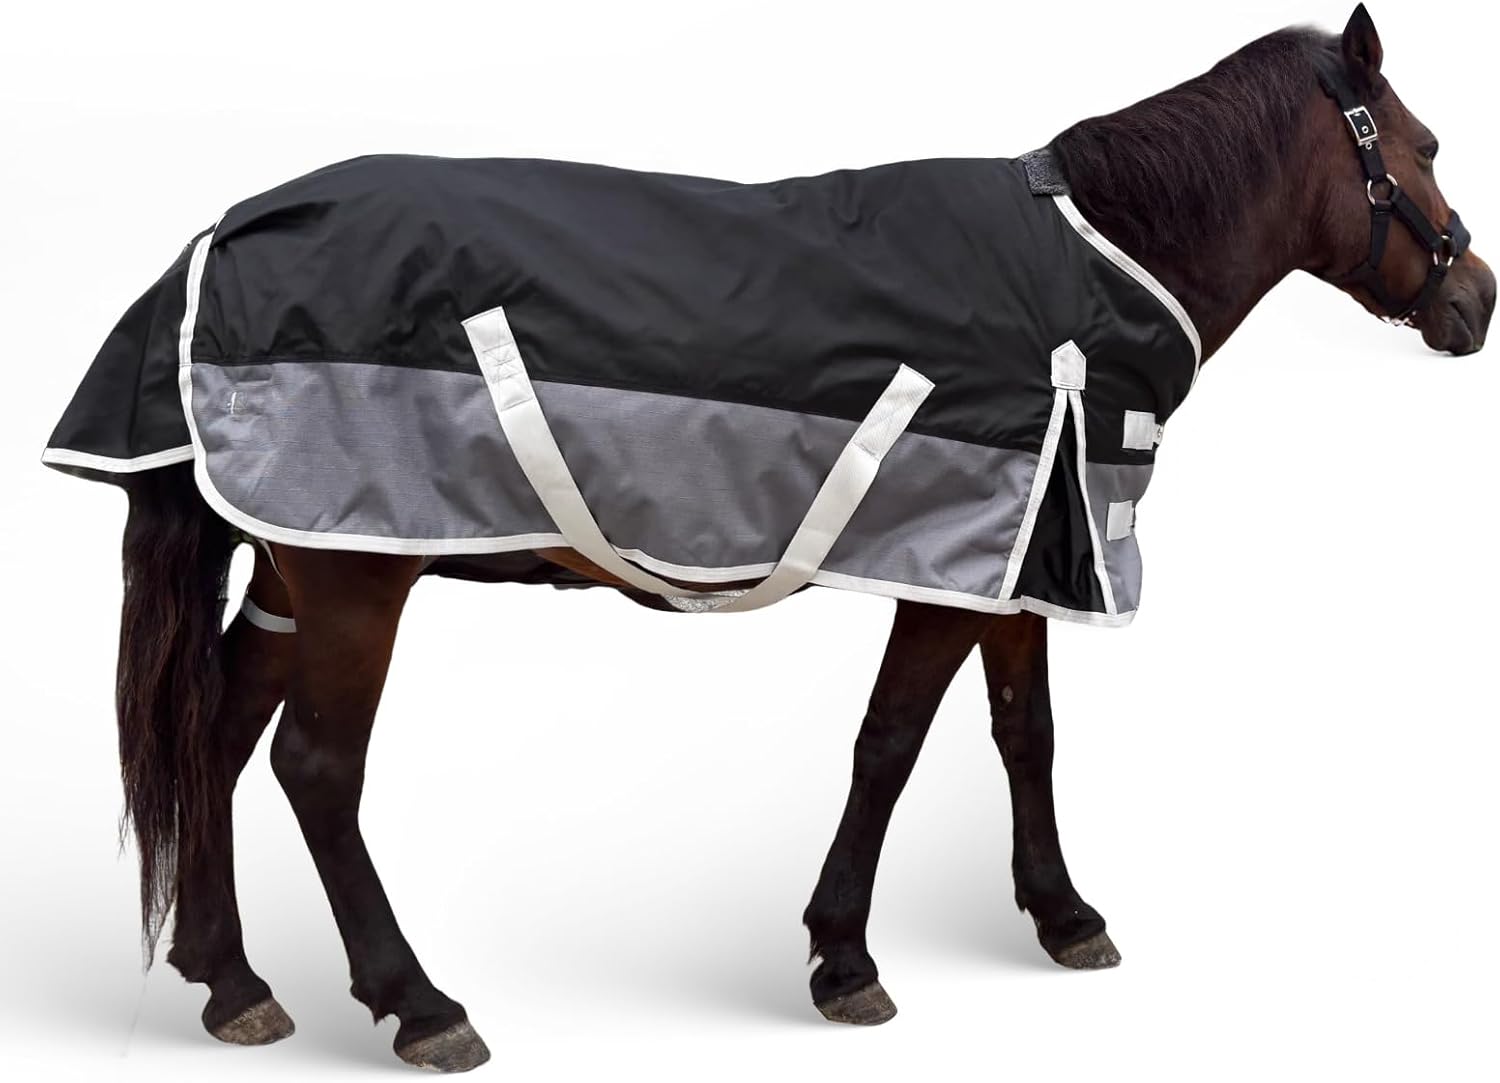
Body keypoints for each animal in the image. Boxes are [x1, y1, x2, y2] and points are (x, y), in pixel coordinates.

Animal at [41, 5, 1494, 1073]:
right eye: (1421, 145)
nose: (1475, 301)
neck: (1089, 274)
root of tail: (221, 238)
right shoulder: (946, 566)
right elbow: (892, 742)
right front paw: (844, 958)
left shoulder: (1022, 558)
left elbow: (1023, 733)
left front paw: (1063, 914)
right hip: (356, 576)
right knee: (316, 769)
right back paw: (419, 1004)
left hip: (292, 562)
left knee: (217, 734)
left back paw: (229, 978)